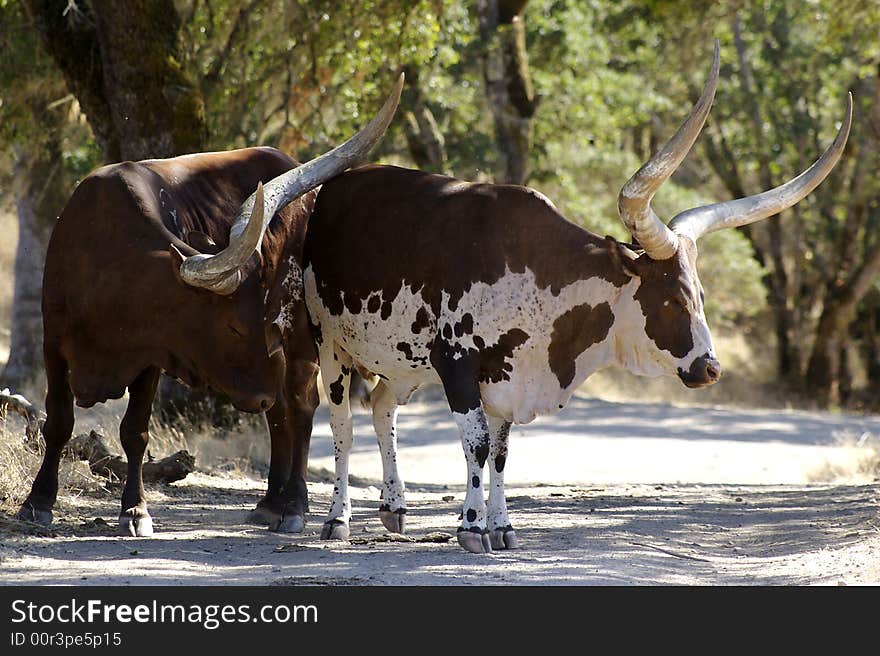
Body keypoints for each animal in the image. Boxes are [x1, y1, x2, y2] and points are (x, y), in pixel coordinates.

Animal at [17, 78, 404, 540]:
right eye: (234, 327)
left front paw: (135, 510)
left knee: (299, 405)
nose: (257, 395)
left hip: (301, 335)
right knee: (279, 413)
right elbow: (58, 422)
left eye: (259, 323)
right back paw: (270, 503)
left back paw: (294, 504)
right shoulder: (53, 345)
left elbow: (135, 432)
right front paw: (37, 502)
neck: (105, 267)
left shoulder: (149, 358)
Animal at [288, 43, 844, 552]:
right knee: (342, 423)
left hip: (404, 363)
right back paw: (338, 518)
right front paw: (471, 527)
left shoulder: (506, 378)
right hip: (331, 344)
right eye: (671, 299)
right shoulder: (459, 366)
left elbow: (501, 451)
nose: (711, 368)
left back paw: (394, 506)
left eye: (700, 294)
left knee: (384, 406)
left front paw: (502, 527)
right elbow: (477, 443)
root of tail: (334, 189)